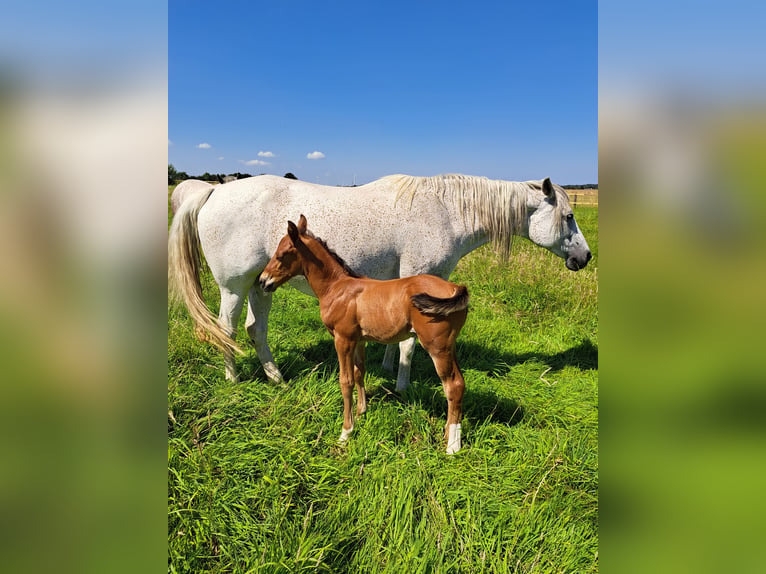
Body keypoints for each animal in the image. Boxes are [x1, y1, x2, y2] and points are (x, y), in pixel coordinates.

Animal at [170, 172, 592, 388]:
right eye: (568, 216)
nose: (585, 257)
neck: (446, 210)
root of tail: (213, 191)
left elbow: (399, 335)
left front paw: (389, 370)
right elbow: (410, 344)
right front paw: (404, 386)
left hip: (264, 284)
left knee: (255, 329)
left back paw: (276, 378)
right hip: (234, 286)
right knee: (226, 329)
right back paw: (233, 379)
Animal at [260, 216, 472, 454]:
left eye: (281, 254)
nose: (263, 281)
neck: (337, 288)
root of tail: (456, 288)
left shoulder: (342, 339)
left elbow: (346, 381)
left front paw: (345, 433)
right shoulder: (359, 340)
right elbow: (360, 372)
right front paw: (361, 412)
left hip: (437, 347)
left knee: (453, 386)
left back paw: (453, 445)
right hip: (449, 346)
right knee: (459, 383)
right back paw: (447, 434)